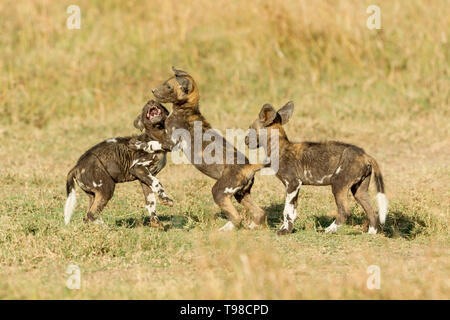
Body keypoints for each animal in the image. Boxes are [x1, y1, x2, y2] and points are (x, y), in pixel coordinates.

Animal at [64, 100, 173, 228]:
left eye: (159, 104)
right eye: (143, 109)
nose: (150, 101)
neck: (157, 136)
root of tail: (76, 167)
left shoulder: (145, 178)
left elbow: (151, 202)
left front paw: (156, 223)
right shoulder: (138, 168)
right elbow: (157, 183)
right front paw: (166, 200)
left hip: (94, 195)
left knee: (87, 216)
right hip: (107, 188)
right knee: (91, 214)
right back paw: (107, 228)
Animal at [148, 67, 268, 230]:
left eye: (168, 87)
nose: (153, 91)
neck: (187, 108)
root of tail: (250, 166)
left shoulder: (171, 142)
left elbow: (156, 139)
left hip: (219, 191)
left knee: (237, 218)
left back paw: (224, 230)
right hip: (241, 194)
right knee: (259, 212)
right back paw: (251, 228)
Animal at [246, 102, 386, 235]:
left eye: (250, 128)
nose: (245, 140)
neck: (279, 148)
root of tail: (365, 155)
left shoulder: (292, 184)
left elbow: (287, 211)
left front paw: (284, 231)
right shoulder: (295, 187)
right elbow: (292, 211)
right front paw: (286, 229)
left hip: (338, 185)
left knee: (345, 211)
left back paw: (327, 230)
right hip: (359, 191)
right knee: (371, 211)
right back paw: (371, 233)